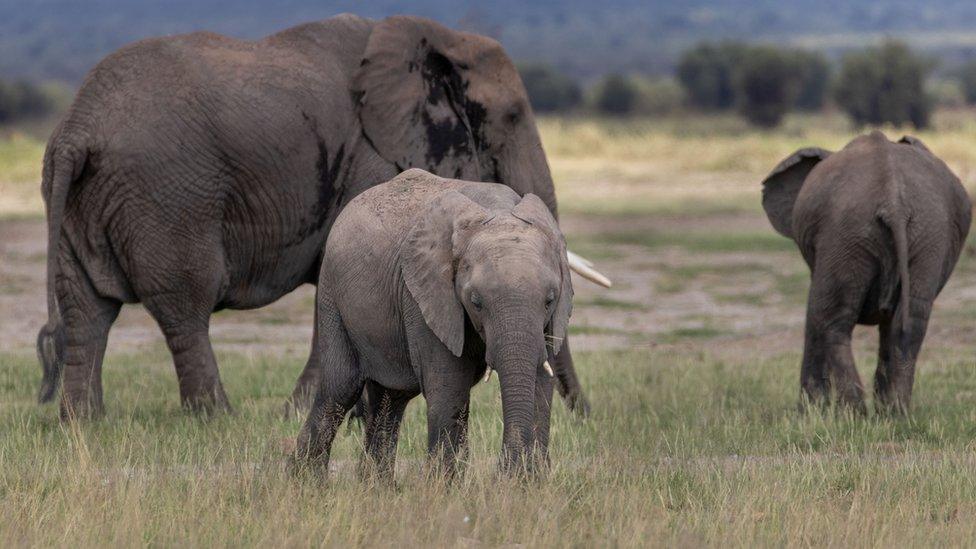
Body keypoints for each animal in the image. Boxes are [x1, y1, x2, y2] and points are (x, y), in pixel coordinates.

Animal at [34, 14, 609, 419]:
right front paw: (298, 412)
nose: (585, 417)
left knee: (87, 309)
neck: (436, 37)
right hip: (167, 196)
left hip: (82, 200)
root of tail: (75, 130)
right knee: (184, 305)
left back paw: (82, 423)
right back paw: (216, 417)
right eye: (511, 117)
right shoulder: (371, 159)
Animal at [293, 169, 572, 477]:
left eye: (549, 299)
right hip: (332, 296)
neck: (496, 210)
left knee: (390, 397)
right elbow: (450, 386)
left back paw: (376, 485)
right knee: (340, 389)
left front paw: (527, 480)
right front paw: (444, 486)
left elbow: (541, 381)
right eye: (476, 302)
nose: (503, 472)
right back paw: (306, 481)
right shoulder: (423, 296)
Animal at [762, 131, 971, 413]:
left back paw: (854, 413)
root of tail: (893, 201)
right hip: (926, 234)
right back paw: (894, 413)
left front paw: (811, 412)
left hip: (847, 232)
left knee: (832, 319)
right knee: (910, 321)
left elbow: (814, 311)